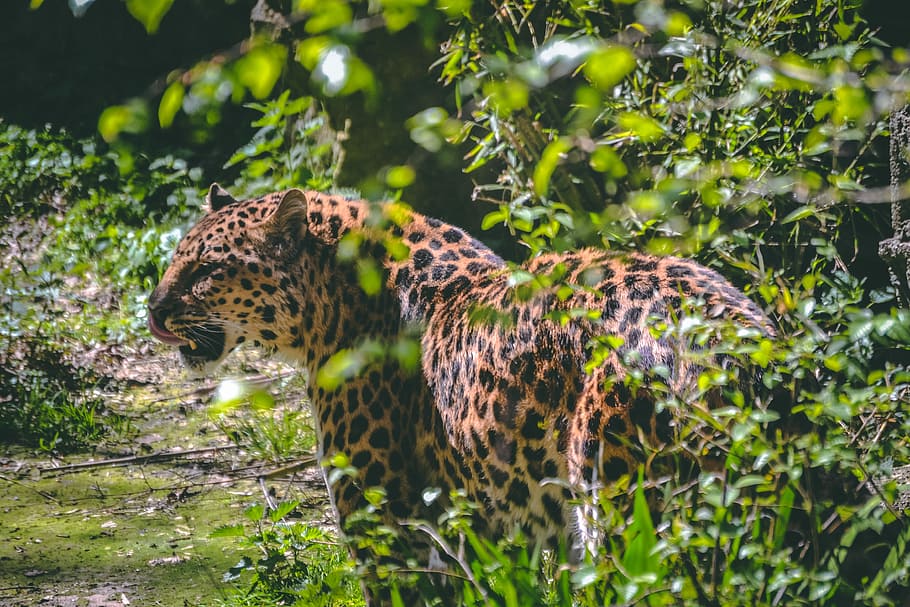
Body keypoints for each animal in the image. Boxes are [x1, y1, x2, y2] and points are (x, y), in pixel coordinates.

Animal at [147, 184, 773, 603]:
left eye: (205, 269)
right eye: (177, 258)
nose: (151, 309)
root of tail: (726, 341)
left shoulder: (385, 532)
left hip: (623, 517)